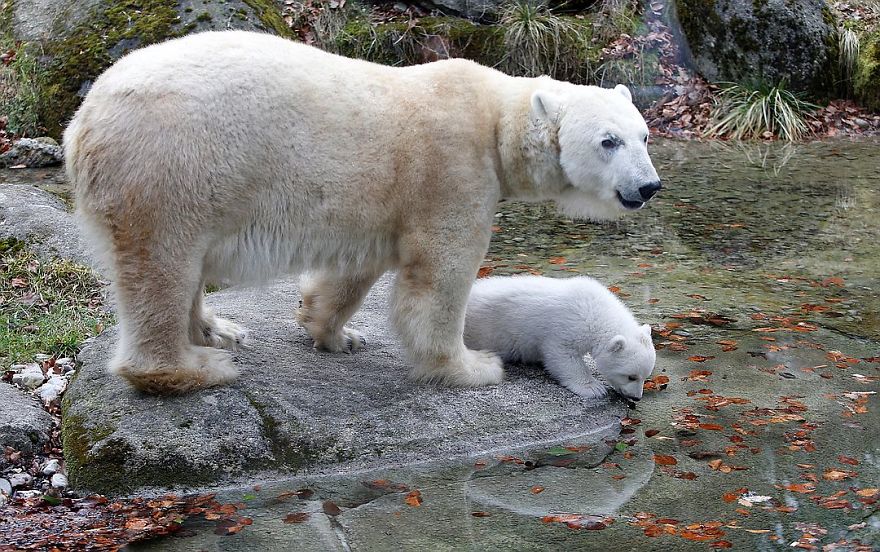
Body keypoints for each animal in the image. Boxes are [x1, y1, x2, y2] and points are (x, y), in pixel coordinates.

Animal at [464, 275, 656, 401]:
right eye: (631, 376)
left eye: (645, 376)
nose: (637, 398)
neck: (595, 309)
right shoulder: (566, 326)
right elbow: (562, 356)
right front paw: (594, 388)